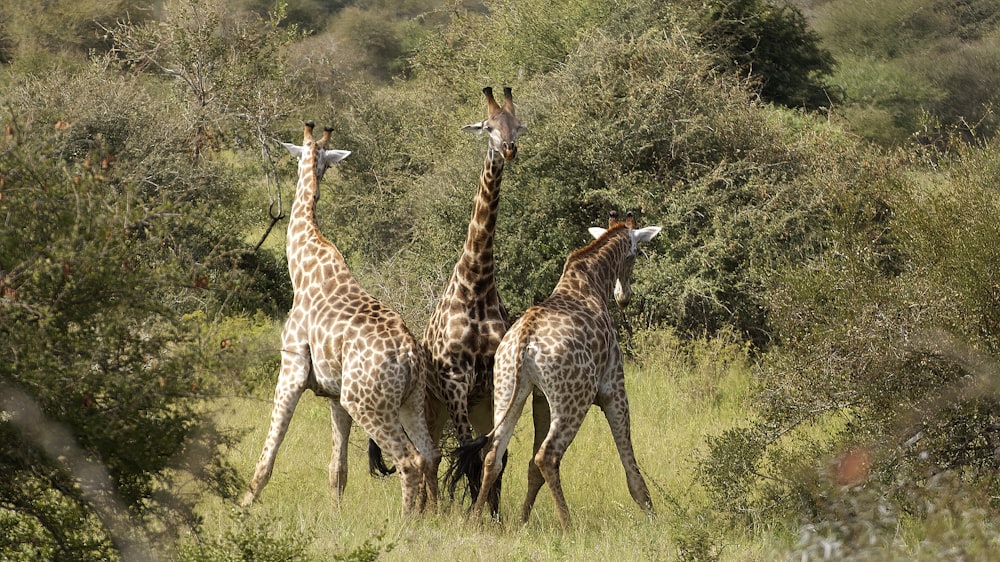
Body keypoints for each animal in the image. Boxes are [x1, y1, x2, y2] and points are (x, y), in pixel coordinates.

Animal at [242, 121, 438, 512]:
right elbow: (338, 468)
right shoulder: (333, 394)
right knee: (430, 455)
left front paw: (244, 502)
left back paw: (407, 522)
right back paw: (435, 515)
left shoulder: (292, 368)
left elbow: (270, 450)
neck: (302, 266)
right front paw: (335, 513)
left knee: (409, 461)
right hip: (408, 400)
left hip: (366, 402)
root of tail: (409, 356)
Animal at [460, 209, 664, 524]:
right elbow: (629, 461)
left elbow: (530, 468)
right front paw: (651, 514)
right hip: (574, 399)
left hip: (508, 390)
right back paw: (568, 525)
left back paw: (474, 520)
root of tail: (524, 339)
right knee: (548, 455)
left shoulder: (541, 399)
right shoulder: (614, 388)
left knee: (494, 454)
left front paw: (522, 520)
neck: (591, 282)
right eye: (636, 254)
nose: (624, 298)